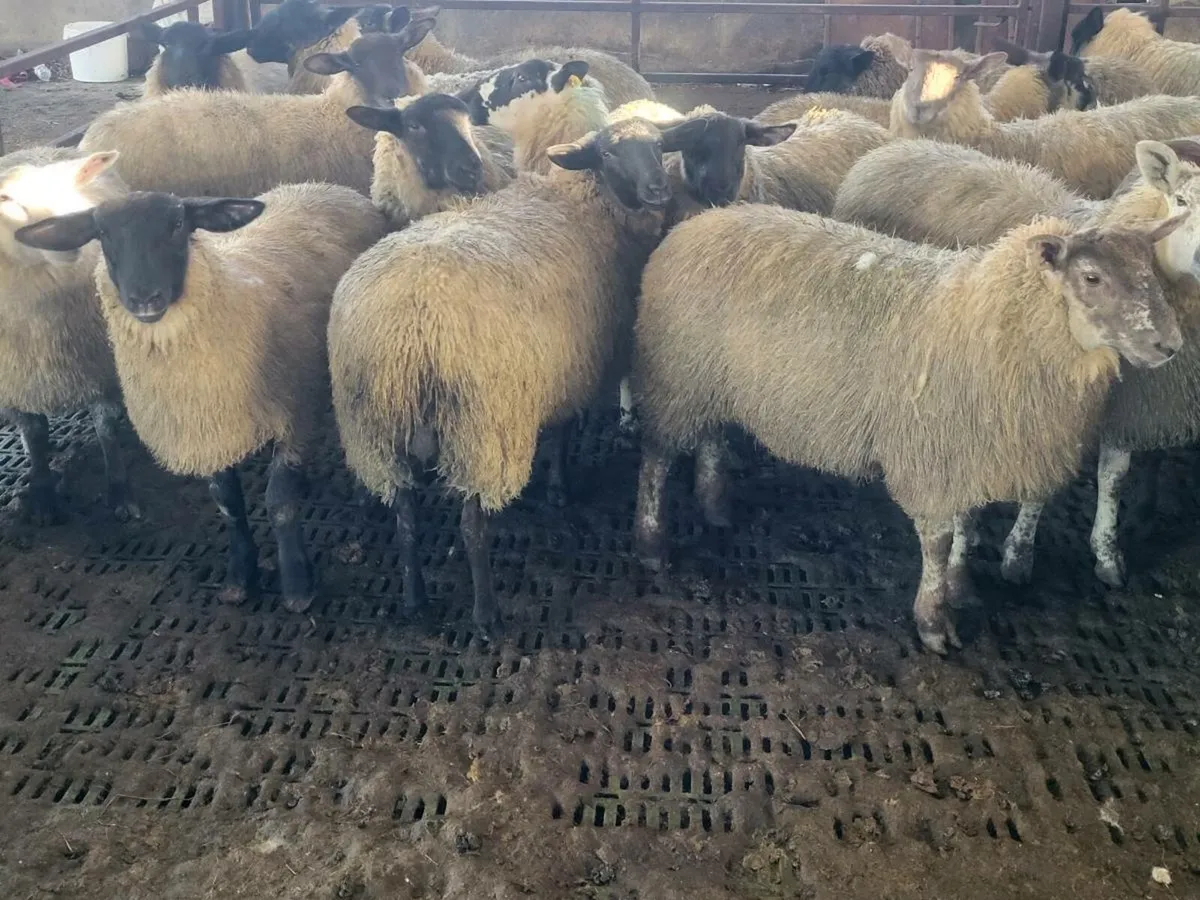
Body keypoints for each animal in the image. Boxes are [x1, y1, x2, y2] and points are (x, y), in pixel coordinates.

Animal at [0, 147, 137, 525]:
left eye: (71, 187)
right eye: (6, 199)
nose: (67, 239)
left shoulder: (100, 370)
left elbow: (105, 430)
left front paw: (119, 490)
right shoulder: (16, 387)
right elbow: (34, 437)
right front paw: (42, 492)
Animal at [16, 183, 388, 613]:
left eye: (178, 223)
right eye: (103, 233)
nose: (145, 298)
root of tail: (324, 186)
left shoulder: (295, 414)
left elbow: (279, 501)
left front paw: (297, 586)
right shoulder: (208, 427)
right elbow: (228, 503)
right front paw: (239, 577)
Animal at [632, 204, 1183, 654]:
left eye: (1152, 271)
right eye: (1091, 277)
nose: (1170, 345)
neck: (992, 321)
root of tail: (696, 222)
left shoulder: (967, 446)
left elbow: (969, 520)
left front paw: (960, 585)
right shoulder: (933, 451)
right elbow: (937, 540)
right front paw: (934, 622)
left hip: (709, 380)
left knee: (710, 435)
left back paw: (715, 505)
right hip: (676, 376)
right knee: (657, 456)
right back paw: (653, 543)